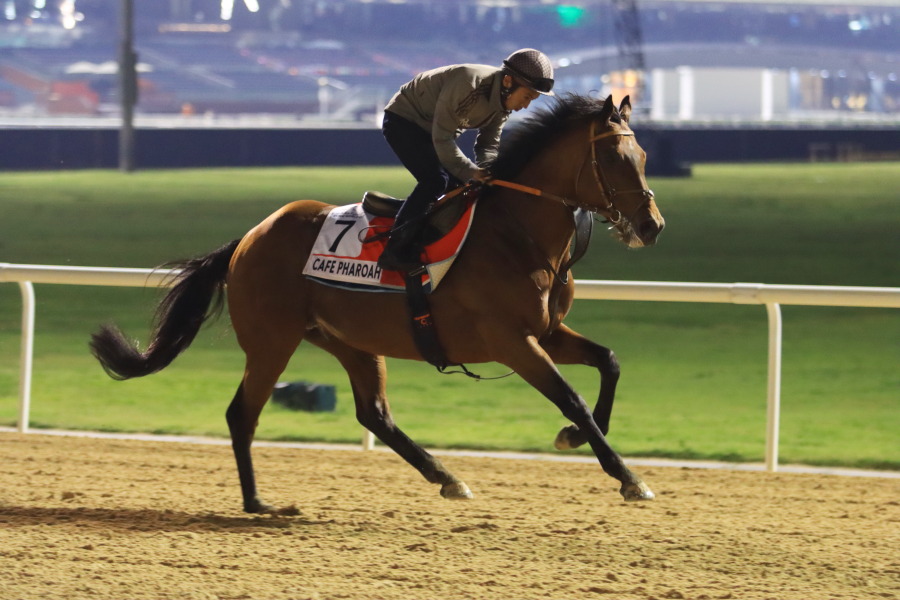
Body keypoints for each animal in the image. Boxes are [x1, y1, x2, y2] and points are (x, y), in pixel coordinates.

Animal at [91, 92, 664, 510]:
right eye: (615, 158)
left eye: (643, 156)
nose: (651, 226)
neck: (517, 234)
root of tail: (249, 238)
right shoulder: (512, 341)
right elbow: (571, 396)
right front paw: (627, 476)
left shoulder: (546, 332)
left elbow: (608, 363)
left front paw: (575, 438)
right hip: (272, 341)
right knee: (242, 414)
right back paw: (258, 503)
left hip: (349, 340)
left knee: (374, 414)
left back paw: (446, 477)